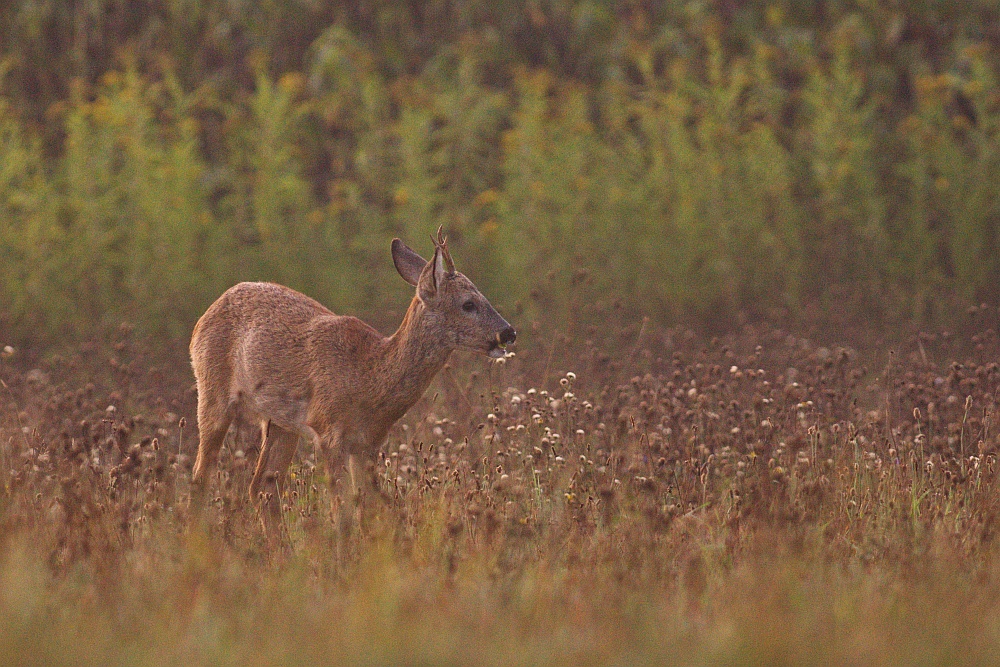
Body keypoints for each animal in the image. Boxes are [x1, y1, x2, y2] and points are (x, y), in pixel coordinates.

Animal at [189, 230, 516, 528]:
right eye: (468, 303)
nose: (508, 331)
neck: (369, 378)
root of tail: (207, 312)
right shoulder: (329, 432)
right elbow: (343, 514)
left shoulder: (368, 443)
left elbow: (369, 510)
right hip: (212, 391)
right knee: (201, 479)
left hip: (281, 423)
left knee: (261, 489)